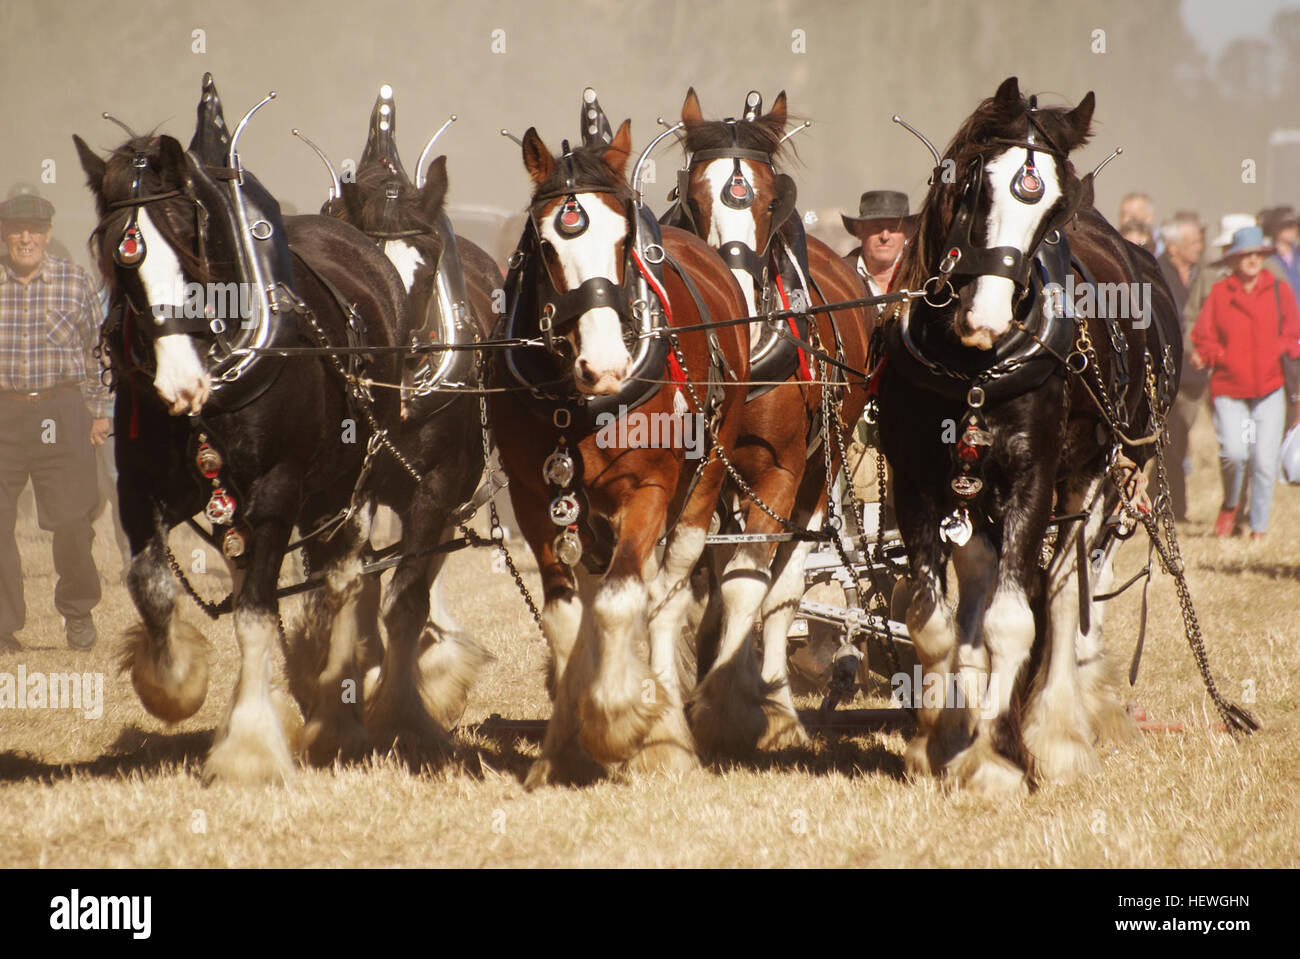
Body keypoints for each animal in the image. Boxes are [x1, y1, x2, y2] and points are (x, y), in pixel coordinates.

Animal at [660, 87, 873, 753]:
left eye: (769, 196)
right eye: (692, 195)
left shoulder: (780, 471)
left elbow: (749, 583)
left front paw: (730, 709)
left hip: (817, 471)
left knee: (783, 589)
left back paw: (777, 707)